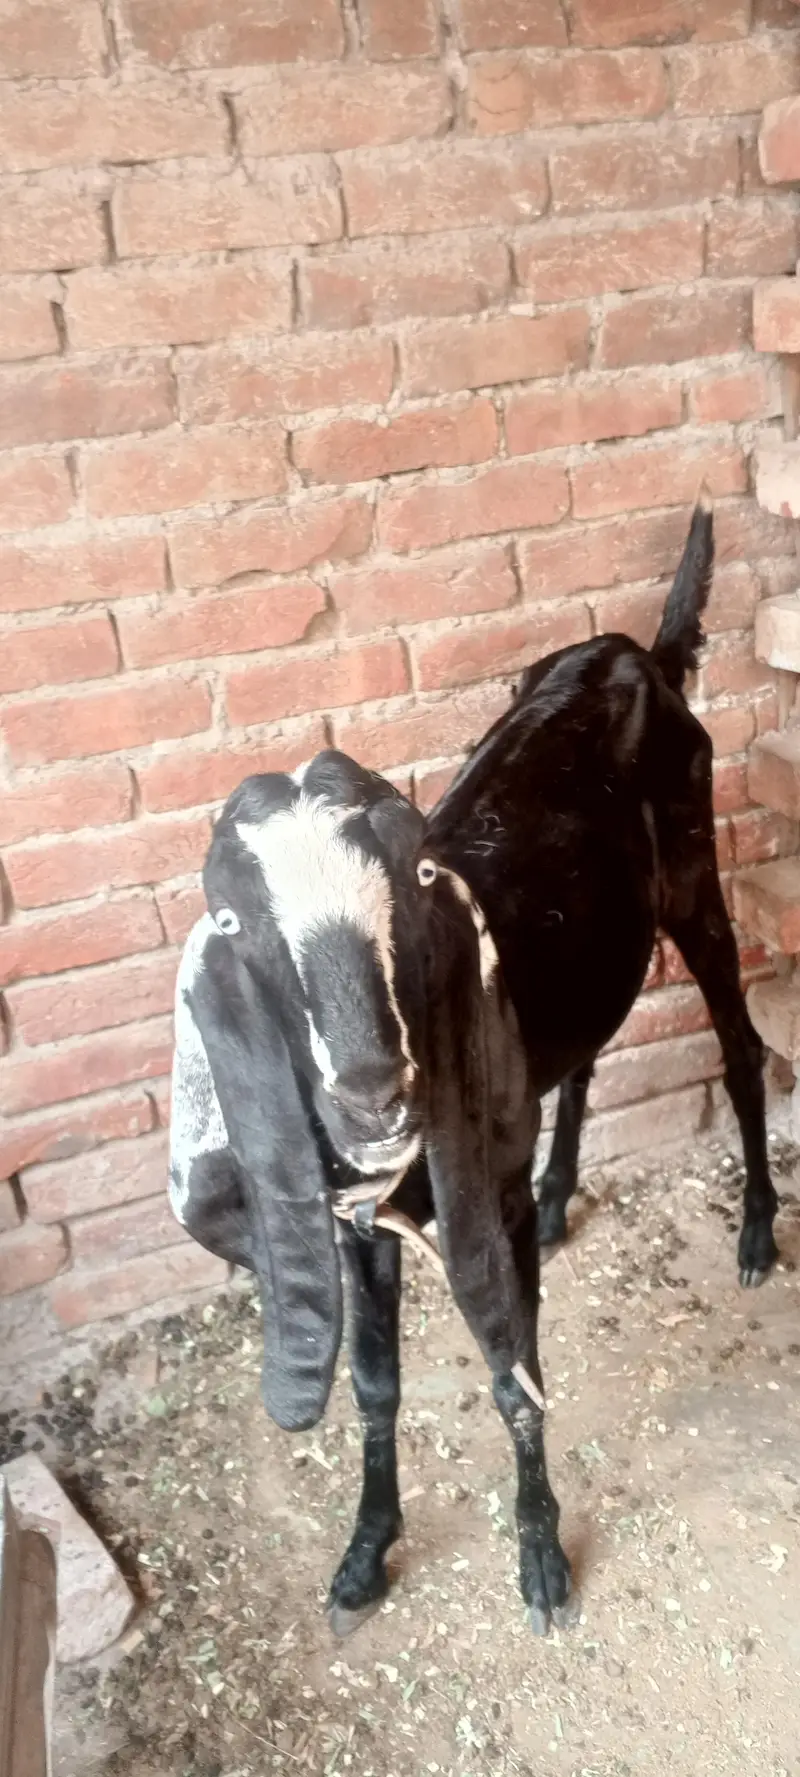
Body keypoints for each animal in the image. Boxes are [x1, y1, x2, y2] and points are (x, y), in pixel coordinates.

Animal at [168, 494, 777, 1638]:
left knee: (738, 1046)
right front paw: (365, 1552)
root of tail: (636, 651)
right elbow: (375, 1384)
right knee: (582, 1055)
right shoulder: (355, 1220)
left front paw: (540, 1559)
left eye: (410, 896)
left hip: (696, 873)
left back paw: (759, 1232)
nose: (369, 1093)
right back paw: (560, 1188)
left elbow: (511, 1370)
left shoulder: (475, 1203)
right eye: (242, 932)